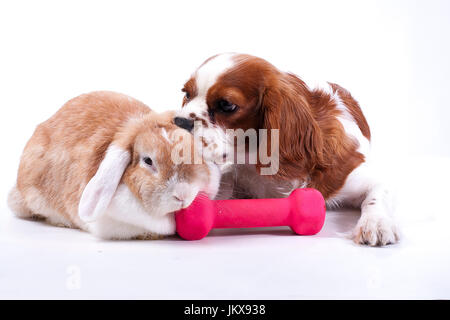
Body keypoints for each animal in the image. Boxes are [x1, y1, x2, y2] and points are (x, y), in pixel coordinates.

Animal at [174, 53, 400, 248]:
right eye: (187, 94)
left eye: (226, 105)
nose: (178, 121)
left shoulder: (354, 173)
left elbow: (377, 195)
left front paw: (376, 223)